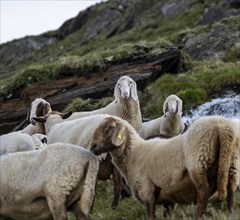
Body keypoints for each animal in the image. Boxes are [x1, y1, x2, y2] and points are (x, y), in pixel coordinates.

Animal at [90, 114, 240, 219]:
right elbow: (167, 214)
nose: (93, 146)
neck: (134, 154)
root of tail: (223, 127)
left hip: (198, 163)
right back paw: (230, 215)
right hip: (233, 163)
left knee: (204, 191)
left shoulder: (147, 189)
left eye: (110, 128)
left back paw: (199, 216)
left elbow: (150, 215)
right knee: (231, 191)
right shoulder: (169, 197)